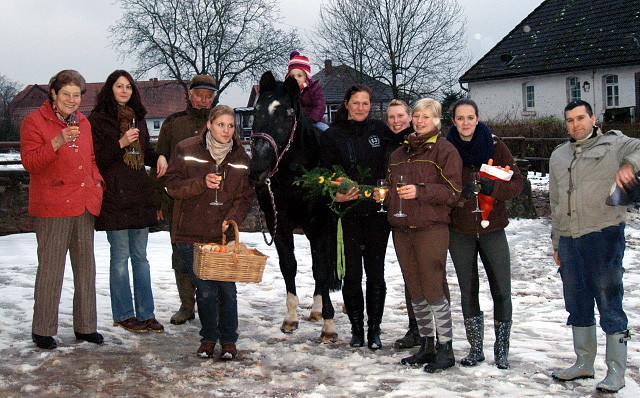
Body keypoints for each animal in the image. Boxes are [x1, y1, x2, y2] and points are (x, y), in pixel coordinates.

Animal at [250, 70, 340, 338]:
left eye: (288, 115)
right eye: (256, 111)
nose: (257, 169)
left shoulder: (320, 223)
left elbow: (321, 268)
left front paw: (329, 326)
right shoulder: (278, 223)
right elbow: (288, 266)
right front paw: (290, 318)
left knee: (323, 266)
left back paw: (320, 310)